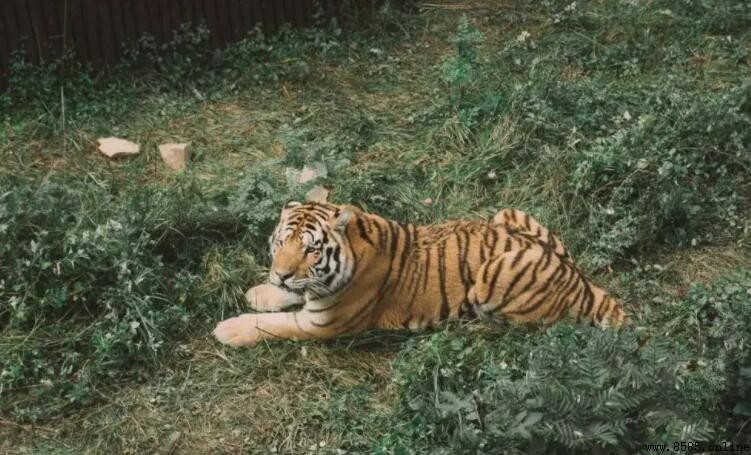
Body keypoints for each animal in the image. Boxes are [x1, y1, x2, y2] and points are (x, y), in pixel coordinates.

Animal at [213, 201, 626, 347]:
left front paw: (229, 329)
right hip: (506, 213)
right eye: (281, 242)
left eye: (311, 249)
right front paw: (263, 290)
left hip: (493, 274)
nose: (280, 273)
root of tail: (583, 282)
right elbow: (290, 294)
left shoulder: (323, 324)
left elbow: (274, 325)